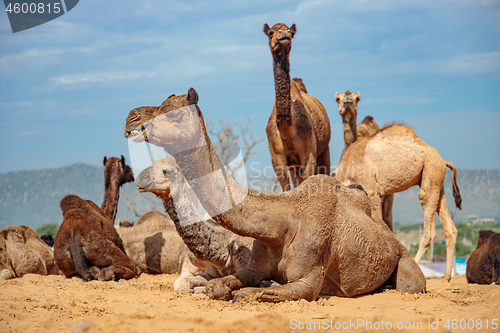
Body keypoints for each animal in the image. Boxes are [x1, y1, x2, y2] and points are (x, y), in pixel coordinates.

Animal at [264, 22, 330, 189]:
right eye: (270, 32)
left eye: (292, 32)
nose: (284, 33)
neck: (287, 128)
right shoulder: (277, 158)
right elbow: (286, 189)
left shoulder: (308, 154)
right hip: (294, 165)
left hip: (324, 150)